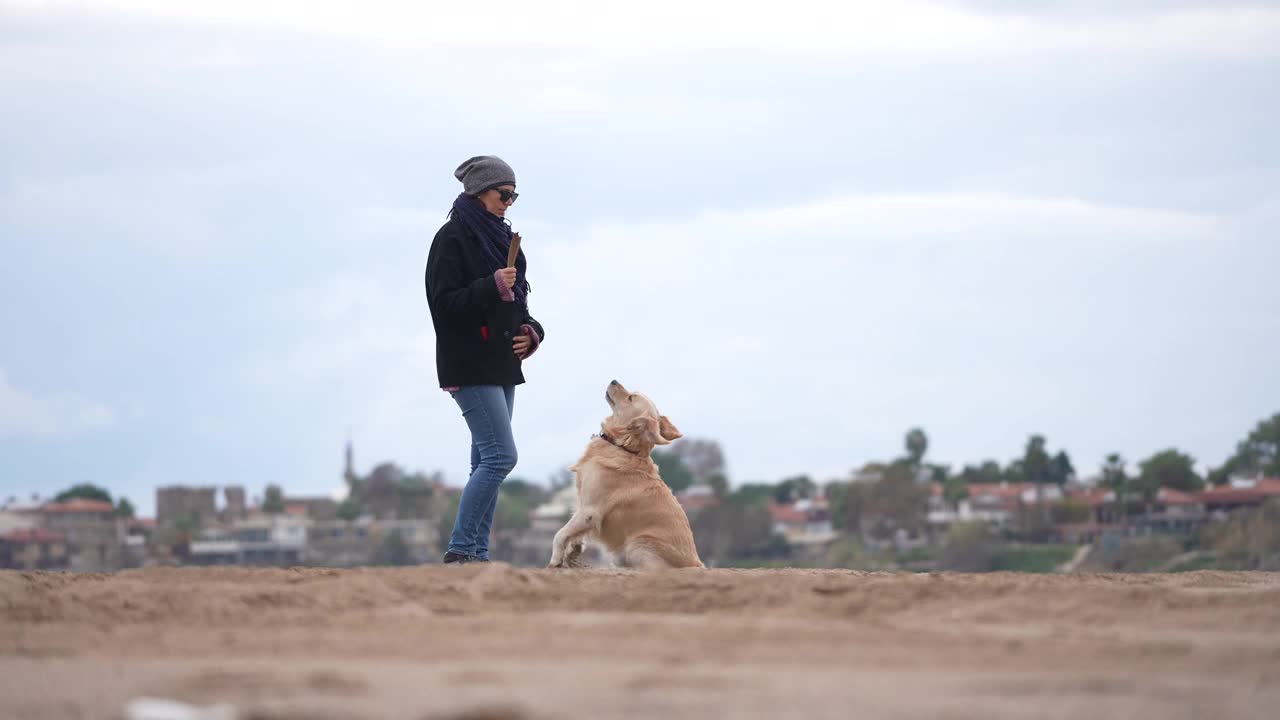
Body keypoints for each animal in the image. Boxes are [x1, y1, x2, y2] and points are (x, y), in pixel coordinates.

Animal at [545, 379, 706, 568]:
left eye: (630, 398)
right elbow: (574, 535)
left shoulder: (590, 511)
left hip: (637, 544)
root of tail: (698, 565)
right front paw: (573, 553)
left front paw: (555, 560)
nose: (613, 380)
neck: (622, 446)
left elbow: (560, 534)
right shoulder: (582, 505)